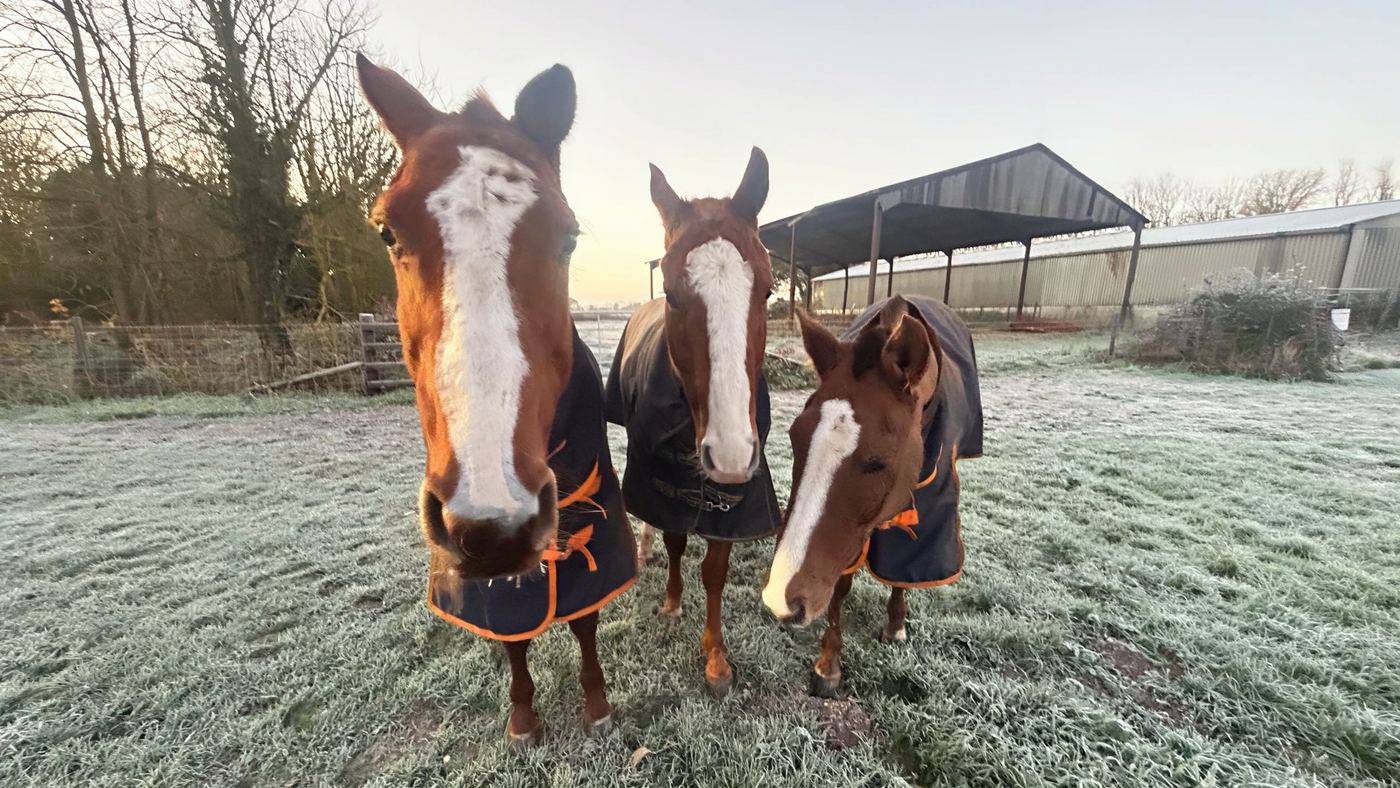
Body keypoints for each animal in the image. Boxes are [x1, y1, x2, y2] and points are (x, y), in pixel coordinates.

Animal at [357, 56, 636, 744]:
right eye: (387, 232)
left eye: (567, 237)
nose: (492, 523)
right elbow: (512, 634)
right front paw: (523, 716)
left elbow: (584, 618)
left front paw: (596, 703)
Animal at [604, 149, 781, 697]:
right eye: (673, 292)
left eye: (768, 291)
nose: (729, 454)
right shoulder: (663, 479)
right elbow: (676, 539)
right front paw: (672, 601)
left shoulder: (735, 497)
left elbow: (716, 569)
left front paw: (716, 657)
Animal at [762, 295, 982, 697]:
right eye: (794, 437)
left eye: (878, 461)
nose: (781, 599)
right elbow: (840, 584)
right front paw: (828, 665)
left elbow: (904, 569)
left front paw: (895, 626)